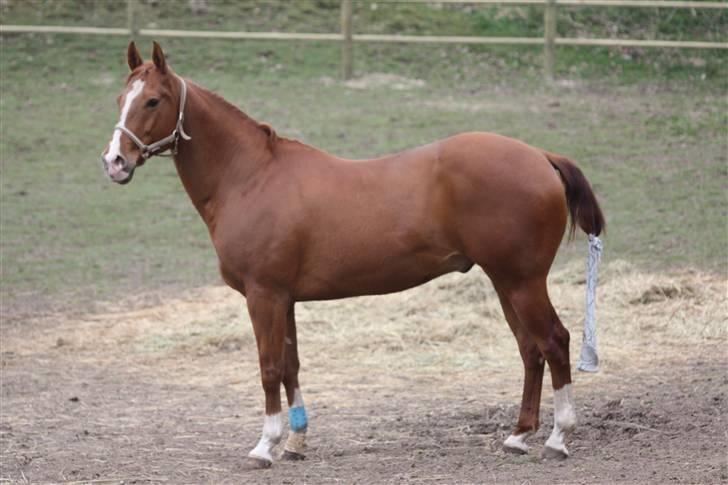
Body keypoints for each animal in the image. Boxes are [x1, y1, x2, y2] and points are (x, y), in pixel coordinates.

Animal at [99, 43, 604, 466]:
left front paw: (265, 446)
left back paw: (558, 438)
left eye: (153, 101)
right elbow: (289, 366)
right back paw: (518, 436)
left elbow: (268, 368)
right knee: (530, 349)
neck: (251, 176)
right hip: (504, 281)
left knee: (555, 342)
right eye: (120, 97)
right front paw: (296, 443)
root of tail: (540, 156)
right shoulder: (285, 299)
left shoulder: (263, 296)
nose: (114, 162)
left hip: (522, 282)